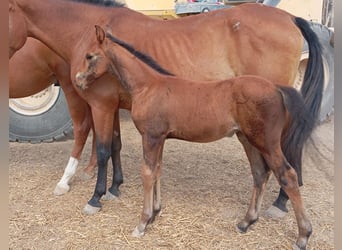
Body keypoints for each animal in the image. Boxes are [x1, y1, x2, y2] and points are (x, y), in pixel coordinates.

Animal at [8, 0, 324, 218]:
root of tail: (291, 18)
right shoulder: (115, 105)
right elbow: (116, 145)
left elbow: (102, 149)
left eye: (3, 17)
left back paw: (281, 203)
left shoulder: (101, 104)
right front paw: (115, 188)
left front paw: (95, 197)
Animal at [75, 26, 316, 249]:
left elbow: (147, 174)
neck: (147, 86)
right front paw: (155, 213)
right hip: (247, 139)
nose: (78, 80)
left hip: (267, 142)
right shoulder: (160, 138)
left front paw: (142, 223)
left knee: (288, 175)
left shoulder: (151, 137)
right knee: (260, 173)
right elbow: (157, 171)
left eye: (90, 56)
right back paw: (246, 222)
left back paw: (303, 235)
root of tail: (277, 89)